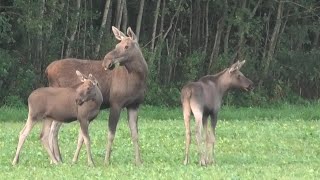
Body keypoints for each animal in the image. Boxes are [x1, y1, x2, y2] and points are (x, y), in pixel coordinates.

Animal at [45, 26, 148, 165]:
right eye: (117, 44)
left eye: (126, 46)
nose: (107, 61)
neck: (139, 79)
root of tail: (47, 70)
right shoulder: (116, 102)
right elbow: (111, 133)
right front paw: (106, 161)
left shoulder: (134, 105)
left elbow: (135, 134)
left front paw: (138, 161)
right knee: (52, 129)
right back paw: (55, 160)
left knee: (53, 129)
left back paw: (58, 159)